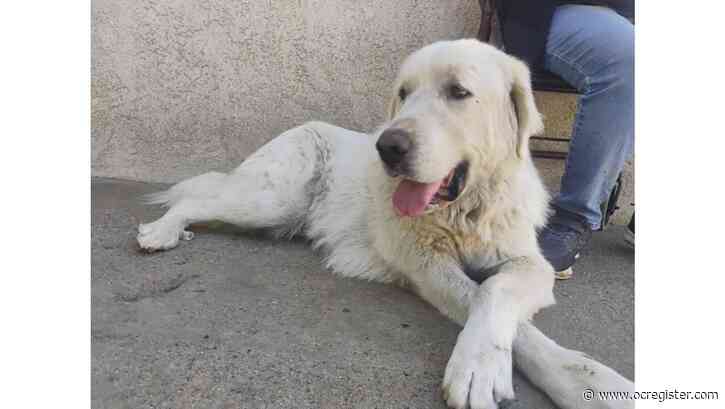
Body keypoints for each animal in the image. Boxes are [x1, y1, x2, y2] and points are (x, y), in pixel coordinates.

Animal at [137, 39, 632, 408]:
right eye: (404, 93)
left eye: (458, 92)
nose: (388, 147)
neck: (465, 210)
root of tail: (301, 126)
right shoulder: (426, 266)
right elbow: (489, 304)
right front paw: (482, 368)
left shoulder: (530, 263)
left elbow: (496, 291)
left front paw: (589, 382)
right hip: (271, 199)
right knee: (196, 198)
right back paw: (163, 231)